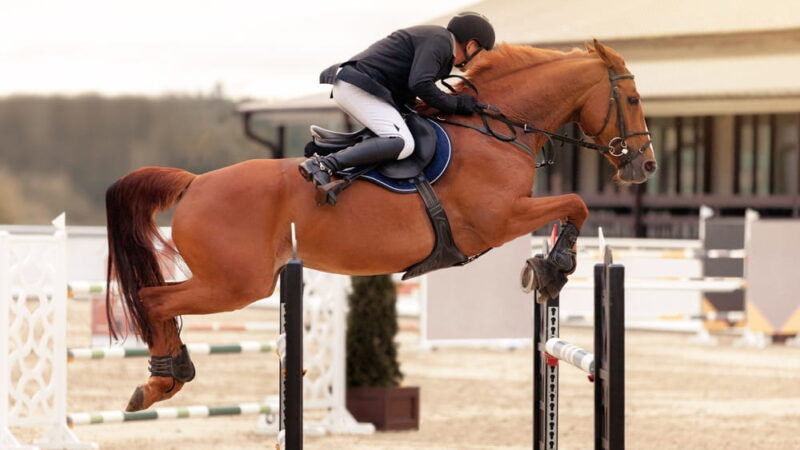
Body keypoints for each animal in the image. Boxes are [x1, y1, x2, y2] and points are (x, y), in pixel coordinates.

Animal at [105, 39, 657, 412]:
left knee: (158, 302)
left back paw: (167, 376)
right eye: (632, 100)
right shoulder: (499, 219)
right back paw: (160, 381)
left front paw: (547, 268)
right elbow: (576, 203)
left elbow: (571, 207)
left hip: (235, 281)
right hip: (236, 284)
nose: (645, 166)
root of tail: (194, 183)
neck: (499, 131)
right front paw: (555, 267)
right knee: (155, 301)